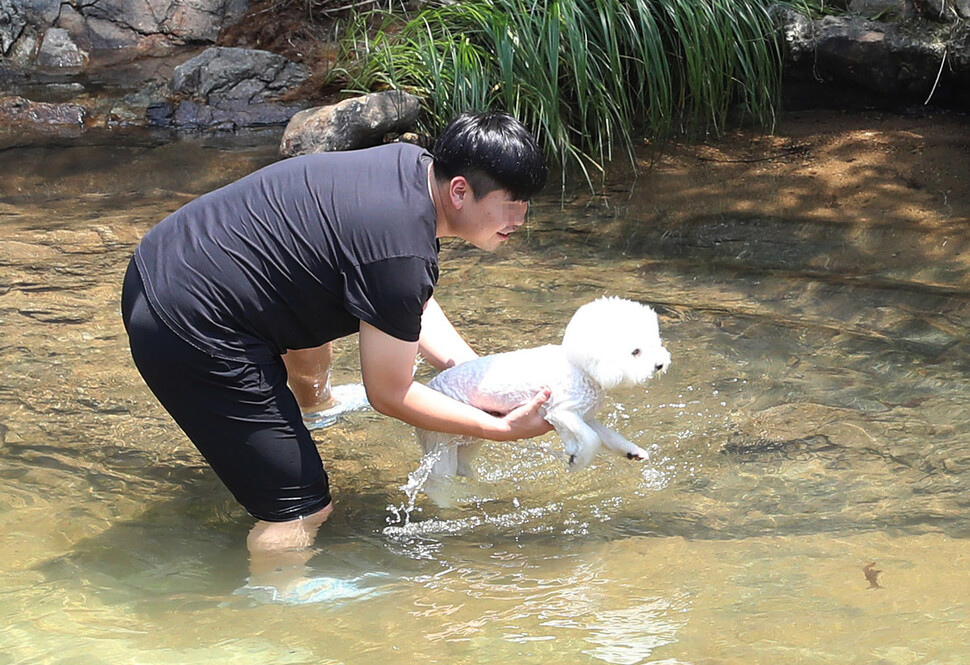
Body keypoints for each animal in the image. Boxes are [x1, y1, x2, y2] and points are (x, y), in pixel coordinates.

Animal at [416, 296, 672, 478]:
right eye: (635, 351)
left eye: (655, 343)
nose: (660, 364)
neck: (581, 370)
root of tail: (431, 385)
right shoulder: (561, 411)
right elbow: (591, 439)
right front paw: (577, 462)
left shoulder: (585, 416)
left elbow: (608, 436)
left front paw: (632, 451)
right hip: (443, 437)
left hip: (470, 435)